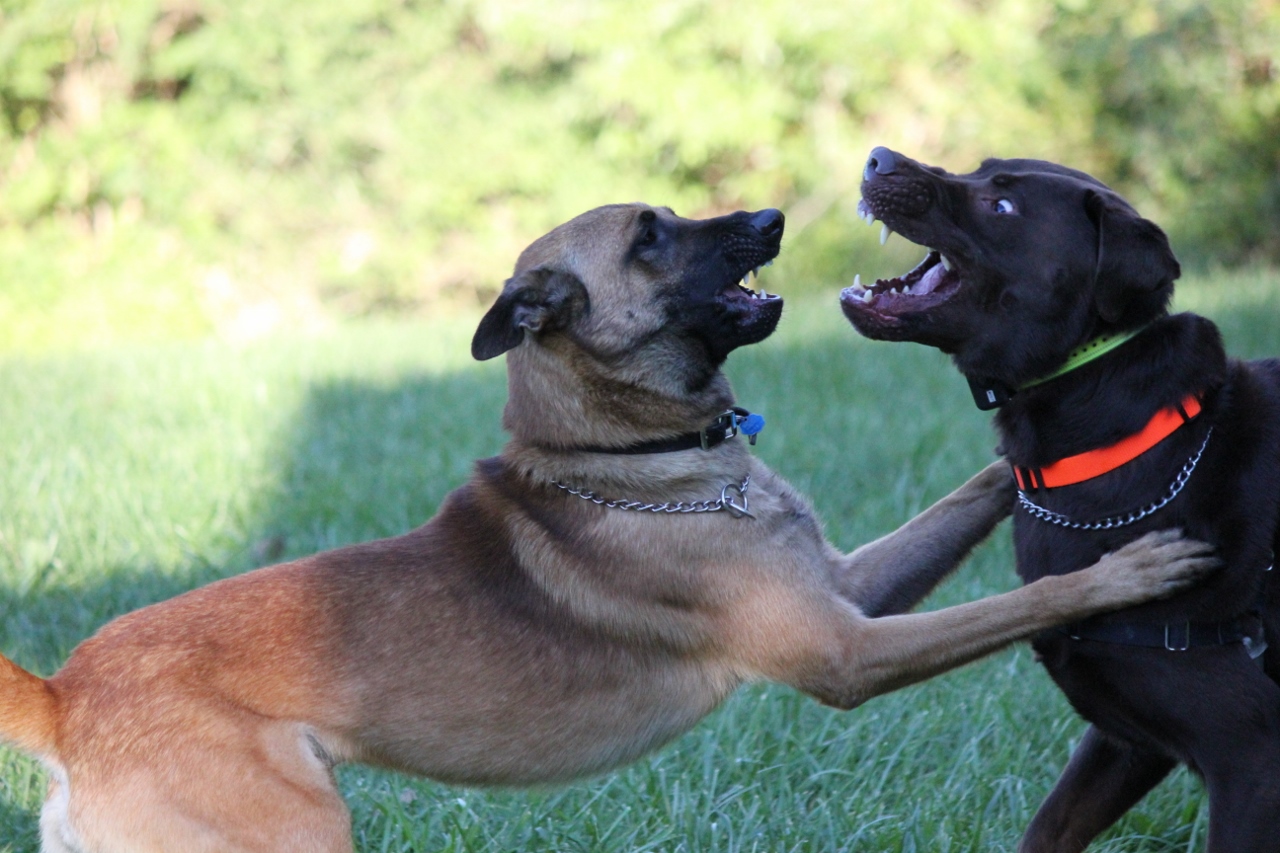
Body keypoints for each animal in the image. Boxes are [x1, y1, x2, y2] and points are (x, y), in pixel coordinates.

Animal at [0, 203, 1217, 853]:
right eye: (650, 240)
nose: (773, 216)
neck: (632, 467)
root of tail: (65, 697)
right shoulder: (844, 652)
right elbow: (1019, 598)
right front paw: (1126, 569)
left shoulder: (851, 587)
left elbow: (968, 497)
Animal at [843, 147, 1280, 852]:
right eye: (982, 168)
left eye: (1001, 206)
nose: (878, 158)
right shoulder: (1126, 742)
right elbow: (1047, 831)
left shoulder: (1251, 757)